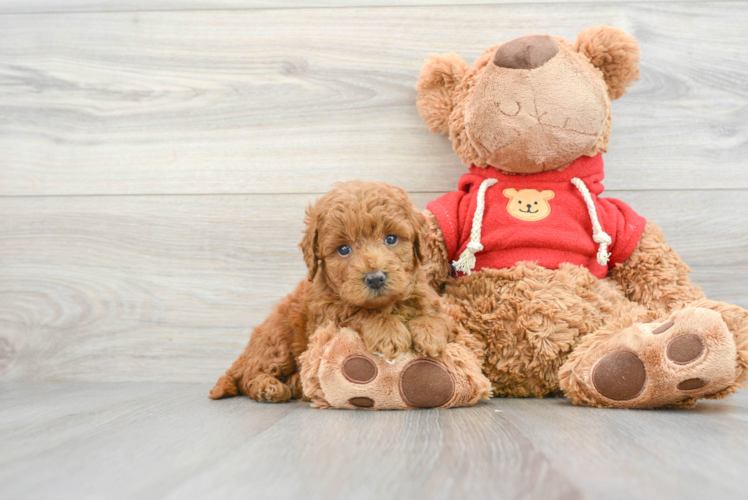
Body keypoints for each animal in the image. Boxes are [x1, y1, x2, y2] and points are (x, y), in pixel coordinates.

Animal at [209, 180, 450, 402]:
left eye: (391, 239)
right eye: (344, 249)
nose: (375, 278)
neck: (386, 304)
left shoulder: (425, 293)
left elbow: (433, 312)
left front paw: (430, 333)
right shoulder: (328, 315)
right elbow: (360, 312)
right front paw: (389, 332)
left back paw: (296, 384)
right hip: (277, 341)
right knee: (248, 374)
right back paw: (268, 388)